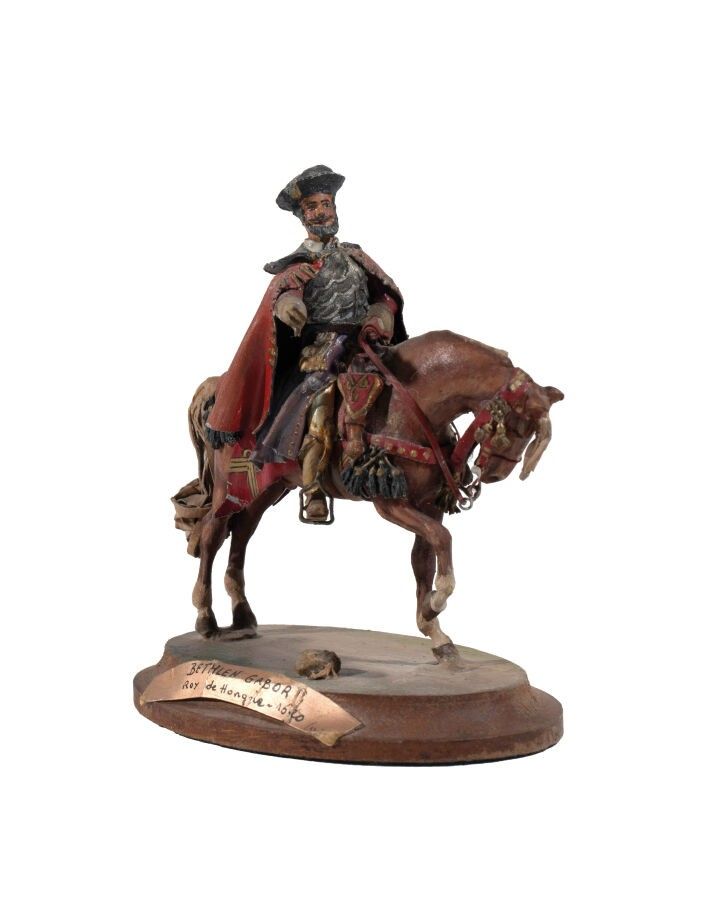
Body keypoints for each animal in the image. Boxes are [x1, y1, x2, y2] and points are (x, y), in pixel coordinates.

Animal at [174, 330, 564, 660]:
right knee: (211, 536)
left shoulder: (427, 506)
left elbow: (425, 558)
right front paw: (438, 600)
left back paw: (243, 616)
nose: (497, 473)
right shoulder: (390, 503)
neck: (413, 401)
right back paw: (207, 619)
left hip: (265, 490)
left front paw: (433, 629)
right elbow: (443, 539)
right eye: (515, 423)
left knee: (241, 535)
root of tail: (219, 387)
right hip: (229, 486)